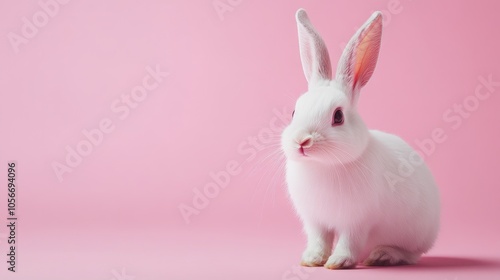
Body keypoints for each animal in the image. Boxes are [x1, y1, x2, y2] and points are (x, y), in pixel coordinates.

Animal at [282, 9, 442, 270]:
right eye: (294, 112)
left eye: (338, 116)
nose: (302, 141)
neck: (324, 166)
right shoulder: (315, 221)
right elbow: (319, 240)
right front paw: (312, 260)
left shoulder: (357, 222)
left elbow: (349, 241)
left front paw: (338, 262)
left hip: (414, 237)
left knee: (411, 255)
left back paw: (382, 255)